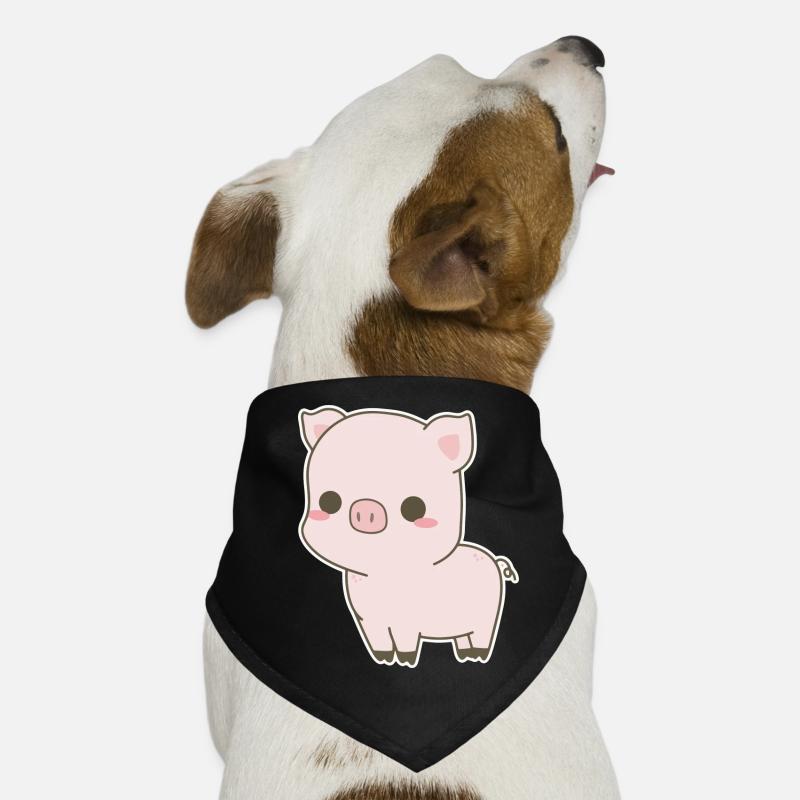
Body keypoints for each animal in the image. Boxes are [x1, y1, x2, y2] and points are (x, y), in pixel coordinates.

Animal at [298, 406, 518, 668]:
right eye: (328, 501)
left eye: (414, 508)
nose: (366, 510)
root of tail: (495, 561)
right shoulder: (369, 622)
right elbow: (380, 644)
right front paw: (385, 659)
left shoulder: (408, 621)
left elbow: (406, 642)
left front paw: (404, 661)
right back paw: (466, 654)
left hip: (486, 616)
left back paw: (477, 655)